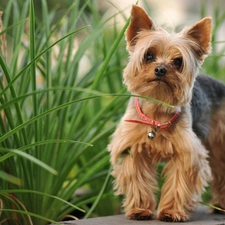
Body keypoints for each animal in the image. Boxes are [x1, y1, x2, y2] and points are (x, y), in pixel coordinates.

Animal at [107, 4, 225, 221]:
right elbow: (138, 179)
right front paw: (140, 210)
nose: (161, 69)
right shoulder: (132, 148)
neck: (156, 110)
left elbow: (179, 182)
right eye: (149, 56)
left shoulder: (186, 153)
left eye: (178, 61)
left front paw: (170, 212)